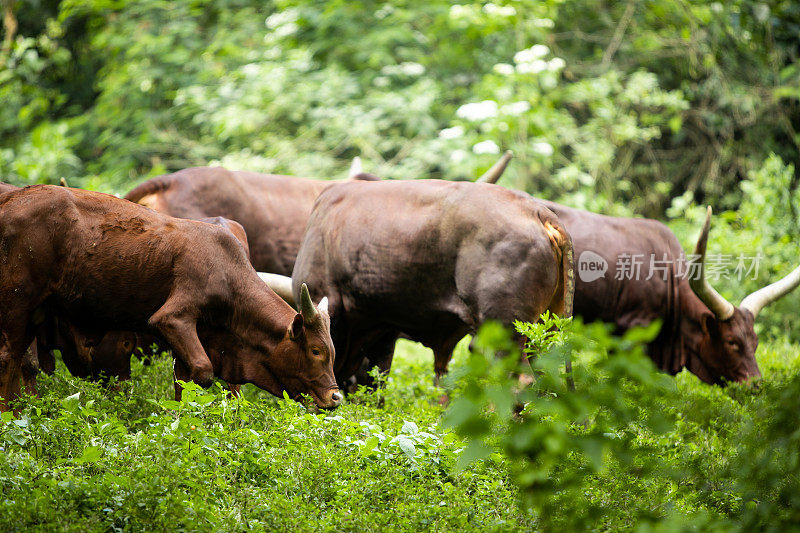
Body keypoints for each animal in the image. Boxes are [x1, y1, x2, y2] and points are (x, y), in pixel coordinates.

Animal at [0, 185, 340, 410]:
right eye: (316, 350)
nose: (335, 396)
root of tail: (11, 200)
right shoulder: (173, 318)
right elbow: (202, 372)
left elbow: (185, 378)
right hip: (16, 302)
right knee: (8, 359)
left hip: (34, 313)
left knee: (19, 361)